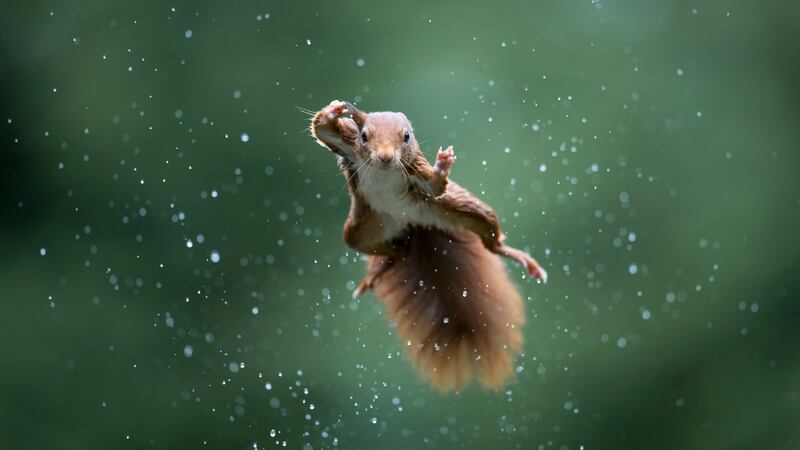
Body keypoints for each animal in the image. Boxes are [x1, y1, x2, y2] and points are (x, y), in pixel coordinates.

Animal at [310, 101, 548, 390]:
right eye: (364, 136)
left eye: (406, 136)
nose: (385, 158)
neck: (385, 171)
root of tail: (413, 224)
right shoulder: (348, 145)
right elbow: (322, 129)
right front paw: (333, 111)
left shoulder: (416, 170)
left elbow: (435, 185)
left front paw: (443, 164)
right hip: (360, 230)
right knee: (396, 250)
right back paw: (377, 272)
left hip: (462, 209)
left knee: (490, 240)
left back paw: (523, 259)